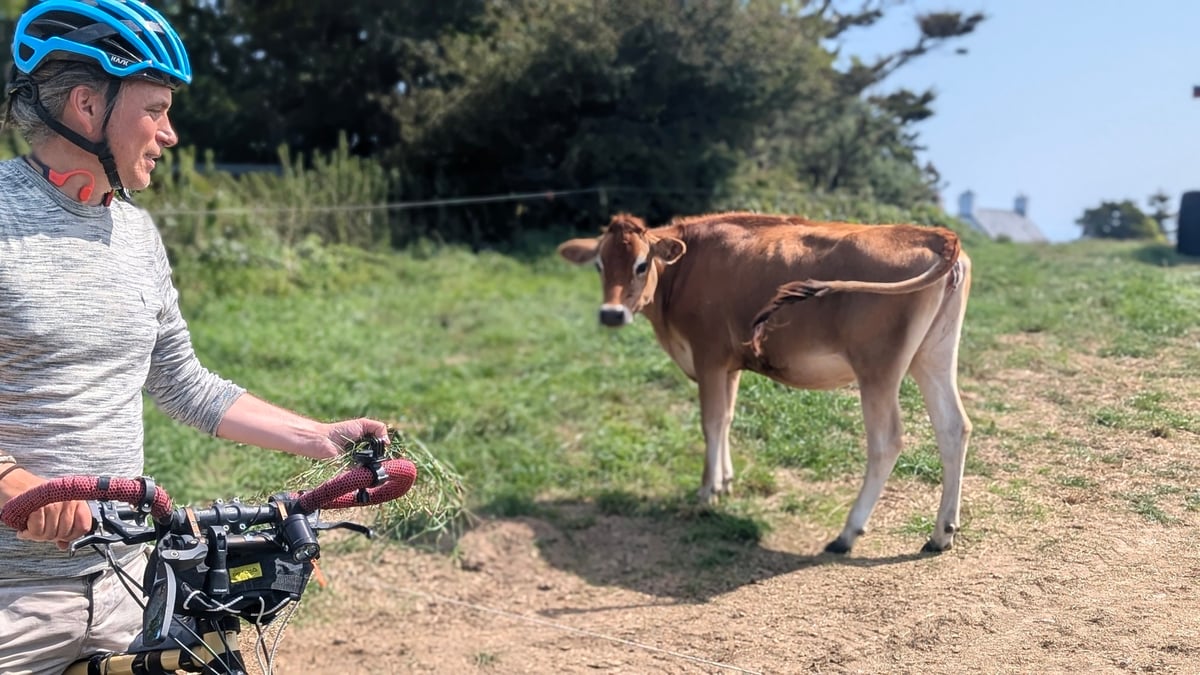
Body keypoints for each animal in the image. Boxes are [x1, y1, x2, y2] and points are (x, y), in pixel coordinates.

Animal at [557, 211, 972, 554]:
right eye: (599, 265)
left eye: (642, 264)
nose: (611, 314)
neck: (684, 270)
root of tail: (936, 235)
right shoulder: (730, 365)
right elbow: (726, 419)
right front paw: (725, 482)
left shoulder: (708, 356)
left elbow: (710, 422)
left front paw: (707, 492)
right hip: (933, 356)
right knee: (954, 427)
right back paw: (941, 533)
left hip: (877, 367)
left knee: (887, 442)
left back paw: (847, 534)